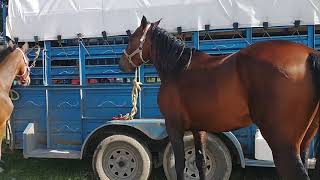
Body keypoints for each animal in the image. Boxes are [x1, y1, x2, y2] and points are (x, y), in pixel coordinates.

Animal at [119, 15, 320, 180]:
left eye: (131, 38)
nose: (121, 64)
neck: (179, 68)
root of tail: (309, 54)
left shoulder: (173, 125)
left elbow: (180, 165)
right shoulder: (198, 128)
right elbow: (200, 163)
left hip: (282, 143)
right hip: (305, 141)